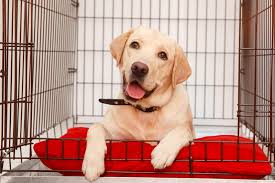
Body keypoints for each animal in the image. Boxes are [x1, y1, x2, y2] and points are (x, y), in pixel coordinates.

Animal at [82, 26, 194, 182]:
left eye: (163, 55)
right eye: (134, 45)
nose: (139, 68)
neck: (145, 110)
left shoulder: (191, 136)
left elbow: (182, 130)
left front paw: (163, 152)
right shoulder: (116, 137)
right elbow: (95, 127)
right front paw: (92, 163)